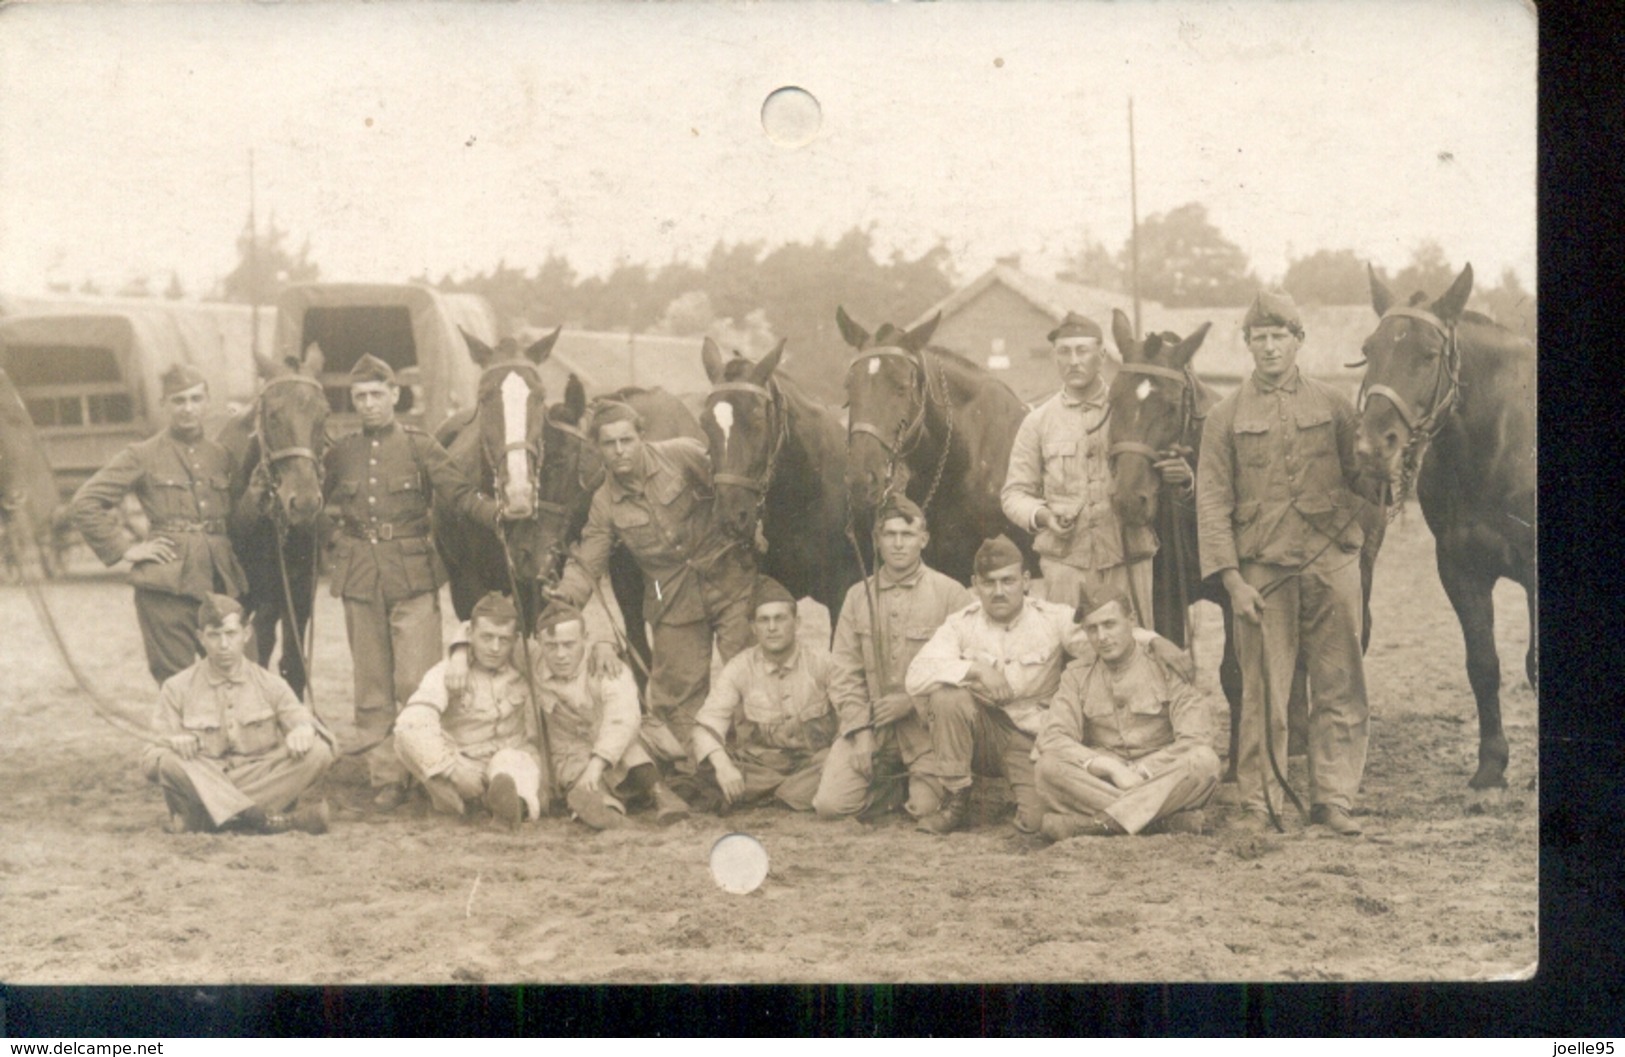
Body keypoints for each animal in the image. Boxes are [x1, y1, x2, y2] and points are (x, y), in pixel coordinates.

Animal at [1105, 308, 1384, 777]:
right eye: (1112, 399)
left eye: (1168, 405)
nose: (1129, 499)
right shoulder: (1166, 593)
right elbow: (1171, 657)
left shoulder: (1236, 593)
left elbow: (1236, 674)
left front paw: (1239, 761)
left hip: (1359, 568)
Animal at [1358, 265, 1534, 790]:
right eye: (1369, 350)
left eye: (1428, 355)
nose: (1372, 445)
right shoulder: (1459, 569)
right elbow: (1483, 665)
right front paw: (1491, 765)